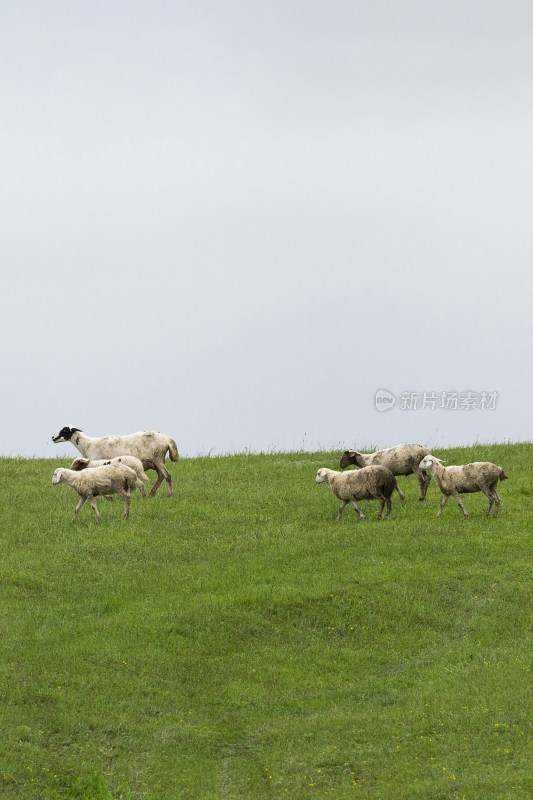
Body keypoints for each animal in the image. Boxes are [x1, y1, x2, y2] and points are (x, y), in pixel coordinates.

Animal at [52, 424, 180, 494]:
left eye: (64, 430)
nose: (52, 437)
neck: (88, 444)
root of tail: (168, 439)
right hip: (158, 460)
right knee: (161, 475)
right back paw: (152, 493)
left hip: (157, 458)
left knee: (167, 475)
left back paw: (169, 494)